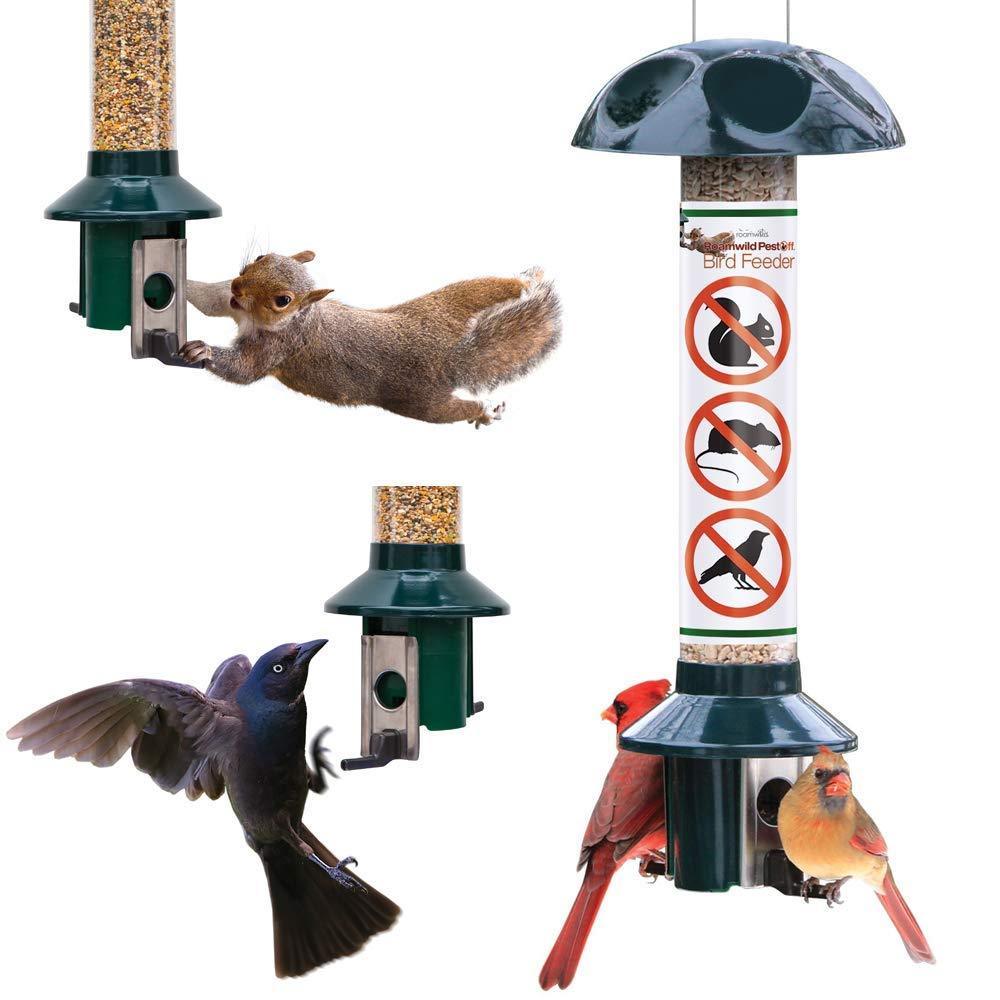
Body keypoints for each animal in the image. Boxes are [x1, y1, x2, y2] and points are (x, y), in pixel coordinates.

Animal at [181, 252, 561, 426]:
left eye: (283, 300)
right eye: (262, 257)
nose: (237, 285)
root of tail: (449, 354)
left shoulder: (279, 347)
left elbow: (244, 369)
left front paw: (203, 350)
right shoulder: (231, 304)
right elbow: (210, 298)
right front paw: (180, 281)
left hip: (420, 400)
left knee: (449, 410)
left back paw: (484, 409)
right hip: (446, 304)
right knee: (483, 288)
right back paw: (524, 282)